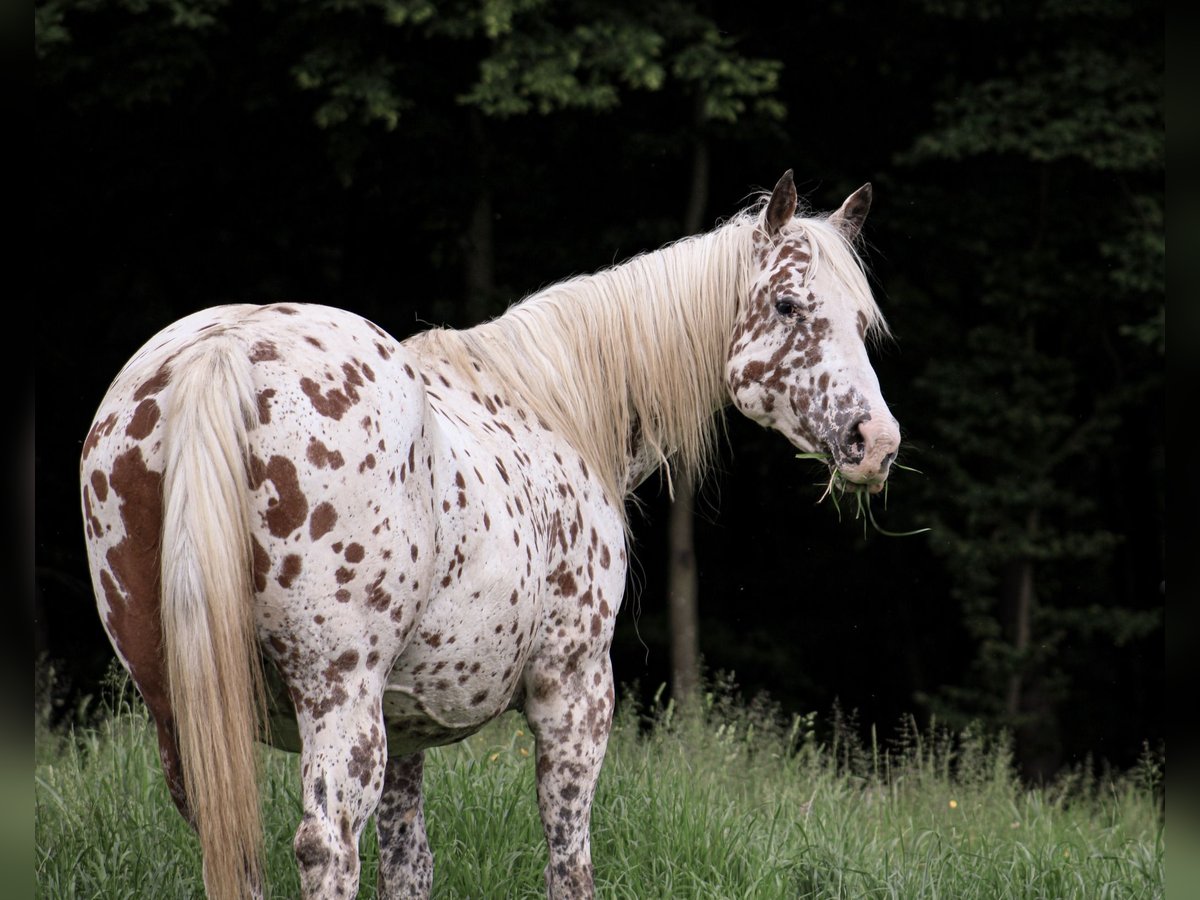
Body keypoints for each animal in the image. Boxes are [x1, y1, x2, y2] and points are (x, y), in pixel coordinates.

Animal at [82, 170, 902, 900]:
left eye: (862, 322)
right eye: (789, 304)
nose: (876, 443)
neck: (555, 409)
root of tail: (218, 354)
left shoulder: (405, 731)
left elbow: (409, 867)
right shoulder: (574, 694)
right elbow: (569, 860)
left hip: (193, 715)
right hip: (336, 695)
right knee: (327, 846)